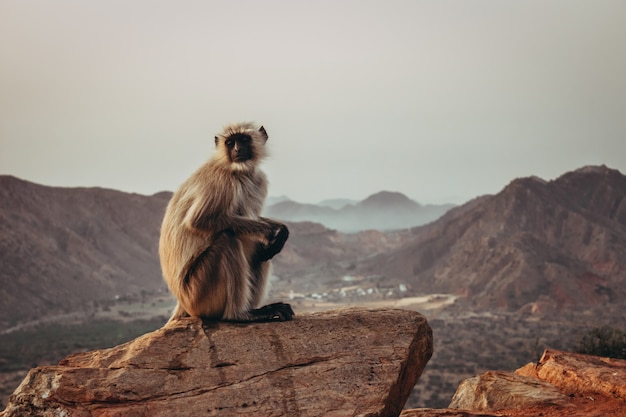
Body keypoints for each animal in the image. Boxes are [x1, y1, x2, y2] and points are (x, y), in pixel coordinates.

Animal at [157, 120, 292, 322]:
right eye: (230, 142)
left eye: (243, 139)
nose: (237, 149)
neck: (237, 171)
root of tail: (183, 303)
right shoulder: (222, 180)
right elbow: (199, 221)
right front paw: (271, 232)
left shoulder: (258, 180)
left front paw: (281, 230)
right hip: (198, 292)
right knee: (228, 238)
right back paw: (240, 315)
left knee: (260, 251)